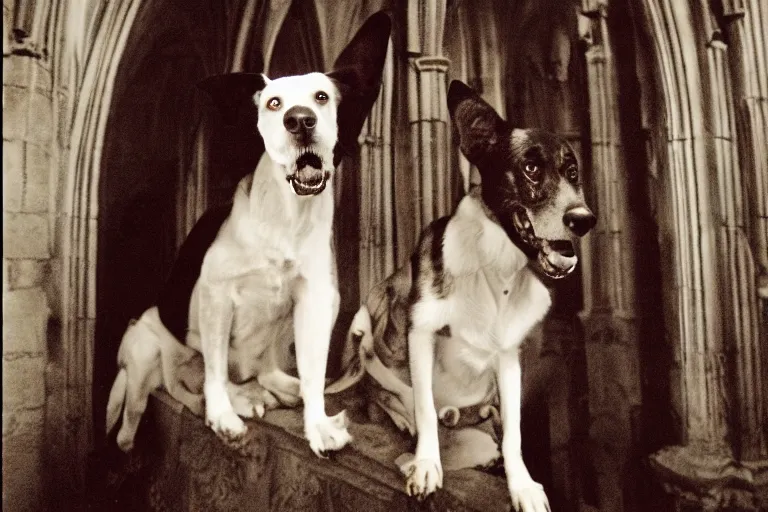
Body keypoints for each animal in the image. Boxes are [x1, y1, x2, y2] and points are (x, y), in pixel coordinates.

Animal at [105, 12, 390, 454]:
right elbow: (215, 370)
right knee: (155, 405)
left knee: (265, 370)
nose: (299, 120)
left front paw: (317, 423)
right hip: (146, 353)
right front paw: (224, 415)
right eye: (274, 102)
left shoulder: (317, 301)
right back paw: (230, 400)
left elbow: (312, 372)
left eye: (322, 97)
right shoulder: (216, 295)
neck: (285, 218)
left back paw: (276, 389)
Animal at [330, 80, 592, 508]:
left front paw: (522, 486)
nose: (585, 220)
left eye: (573, 173)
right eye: (531, 168)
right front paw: (425, 466)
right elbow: (422, 405)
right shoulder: (420, 334)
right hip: (365, 319)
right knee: (378, 391)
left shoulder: (509, 359)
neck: (495, 269)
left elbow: (515, 434)